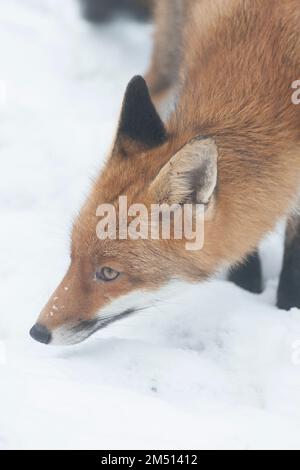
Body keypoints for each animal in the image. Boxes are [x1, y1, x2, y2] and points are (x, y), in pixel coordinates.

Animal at [30, 0, 300, 346]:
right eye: (72, 256)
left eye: (109, 273)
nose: (38, 332)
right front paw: (246, 288)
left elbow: (291, 269)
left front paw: (286, 309)